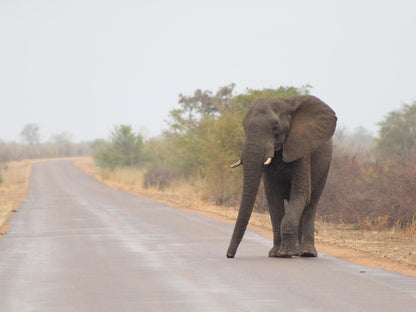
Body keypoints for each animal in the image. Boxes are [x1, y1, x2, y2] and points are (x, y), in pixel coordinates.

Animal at [226, 94, 336, 258]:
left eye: (275, 127)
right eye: (244, 127)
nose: (229, 255)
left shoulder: (302, 150)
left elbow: (301, 194)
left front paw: (286, 253)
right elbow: (273, 198)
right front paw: (276, 253)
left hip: (325, 165)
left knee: (312, 202)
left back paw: (306, 253)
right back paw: (298, 251)